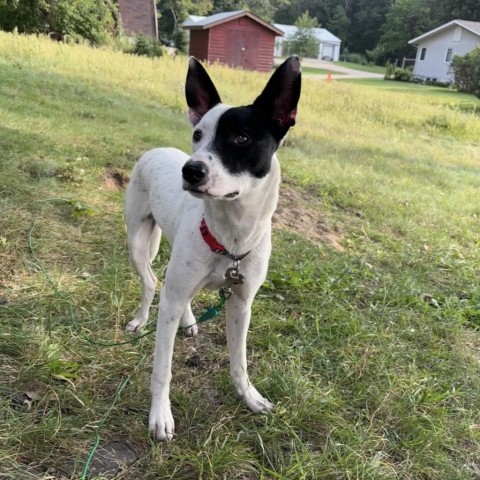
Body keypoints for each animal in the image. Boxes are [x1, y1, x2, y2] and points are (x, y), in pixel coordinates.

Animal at [125, 56, 302, 438]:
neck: (230, 239)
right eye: (198, 134)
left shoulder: (241, 304)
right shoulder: (172, 301)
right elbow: (162, 368)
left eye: (241, 137)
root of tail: (158, 150)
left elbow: (239, 362)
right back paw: (141, 318)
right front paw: (160, 415)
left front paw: (249, 397)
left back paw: (189, 320)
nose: (190, 170)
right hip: (137, 243)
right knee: (151, 283)